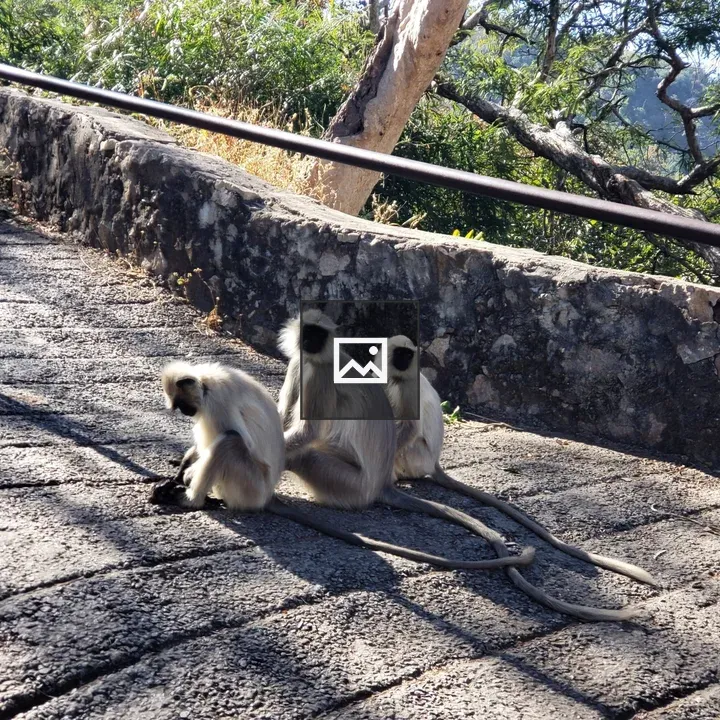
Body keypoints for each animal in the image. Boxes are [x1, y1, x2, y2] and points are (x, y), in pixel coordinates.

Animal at [150, 360, 535, 571]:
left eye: (183, 404)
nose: (185, 411)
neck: (206, 380)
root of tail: (266, 495)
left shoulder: (216, 401)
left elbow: (226, 435)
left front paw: (185, 481)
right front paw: (179, 468)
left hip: (250, 483)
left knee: (229, 443)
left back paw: (194, 500)